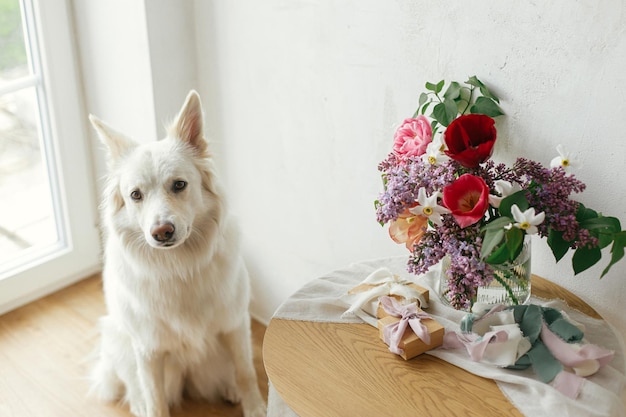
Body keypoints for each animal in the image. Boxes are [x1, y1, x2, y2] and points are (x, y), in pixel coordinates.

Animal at [88, 90, 264, 416]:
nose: (162, 232)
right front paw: (150, 407)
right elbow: (155, 398)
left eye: (179, 185)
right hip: (121, 340)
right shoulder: (148, 348)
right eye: (135, 195)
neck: (178, 267)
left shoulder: (234, 324)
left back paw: (230, 389)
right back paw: (139, 403)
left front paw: (257, 407)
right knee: (133, 385)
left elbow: (246, 372)